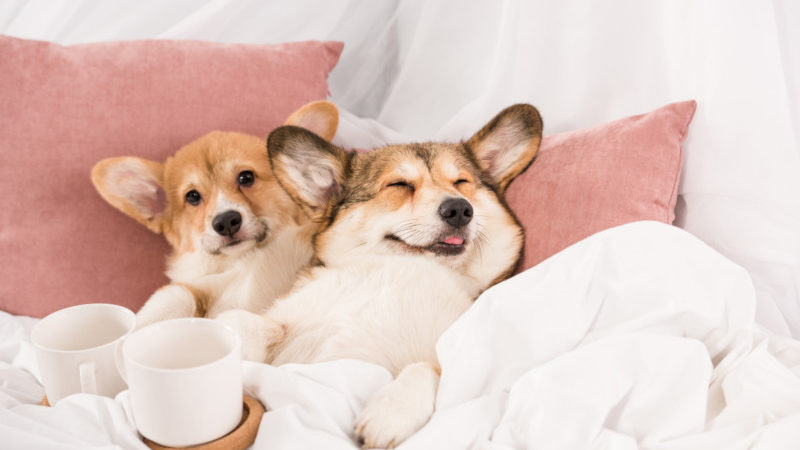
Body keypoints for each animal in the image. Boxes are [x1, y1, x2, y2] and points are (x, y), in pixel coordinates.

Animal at [92, 101, 340, 326]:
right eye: (192, 196)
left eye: (246, 177)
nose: (227, 221)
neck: (244, 261)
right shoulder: (202, 287)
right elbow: (175, 294)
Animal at [219, 103, 544, 448]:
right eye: (399, 185)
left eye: (461, 182)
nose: (459, 209)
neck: (400, 268)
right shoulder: (289, 317)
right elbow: (247, 321)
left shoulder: (458, 355)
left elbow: (427, 368)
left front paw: (391, 412)